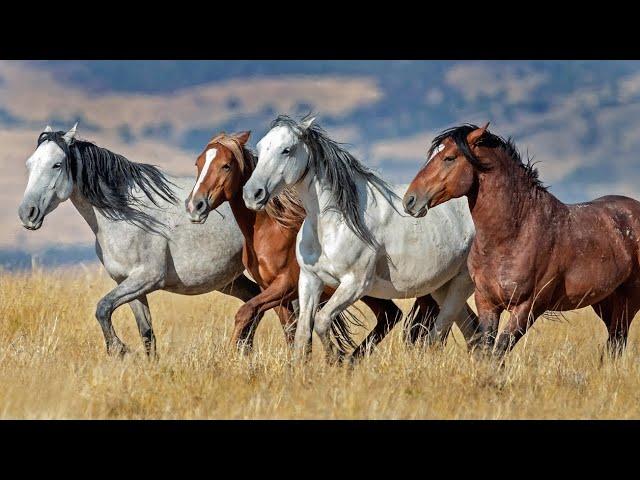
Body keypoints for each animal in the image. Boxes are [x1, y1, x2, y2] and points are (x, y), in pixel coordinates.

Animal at [182, 131, 438, 356]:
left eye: (226, 165)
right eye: (198, 163)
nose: (195, 205)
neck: (269, 230)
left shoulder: (285, 285)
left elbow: (246, 312)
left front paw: (233, 355)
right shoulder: (276, 293)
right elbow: (291, 332)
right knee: (390, 316)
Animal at [242, 115, 478, 360]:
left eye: (286, 150)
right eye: (260, 147)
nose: (252, 194)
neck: (333, 224)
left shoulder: (354, 284)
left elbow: (322, 321)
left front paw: (336, 360)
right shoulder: (309, 279)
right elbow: (303, 334)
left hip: (461, 283)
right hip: (442, 286)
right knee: (472, 330)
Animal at [404, 124, 640, 356]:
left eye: (450, 158)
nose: (410, 200)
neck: (515, 234)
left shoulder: (528, 307)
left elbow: (499, 350)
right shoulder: (487, 302)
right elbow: (487, 349)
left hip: (628, 299)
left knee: (618, 339)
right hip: (605, 300)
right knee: (614, 341)